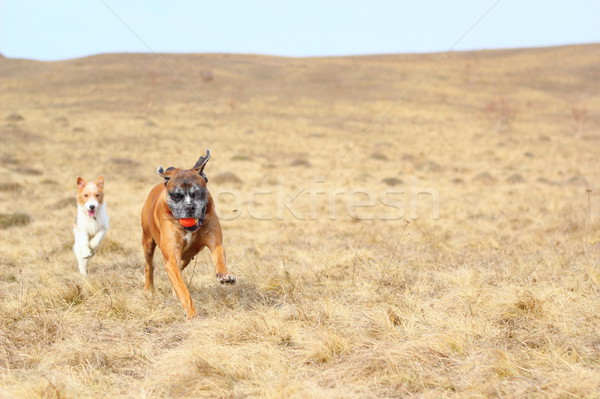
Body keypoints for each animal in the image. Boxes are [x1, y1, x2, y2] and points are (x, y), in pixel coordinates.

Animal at [140, 148, 234, 320]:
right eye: (176, 195)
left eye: (199, 193)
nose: (190, 207)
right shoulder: (171, 259)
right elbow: (183, 290)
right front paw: (192, 314)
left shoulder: (215, 243)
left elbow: (219, 259)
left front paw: (225, 275)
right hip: (148, 243)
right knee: (149, 266)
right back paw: (149, 290)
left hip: (187, 257)